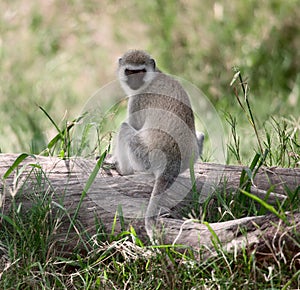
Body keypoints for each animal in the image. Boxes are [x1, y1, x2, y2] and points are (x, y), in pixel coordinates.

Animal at [113, 50, 204, 242]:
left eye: (140, 71)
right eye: (130, 71)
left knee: (125, 129)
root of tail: (171, 164)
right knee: (201, 136)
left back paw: (123, 171)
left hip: (143, 155)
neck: (155, 75)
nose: (134, 82)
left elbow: (132, 124)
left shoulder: (138, 99)